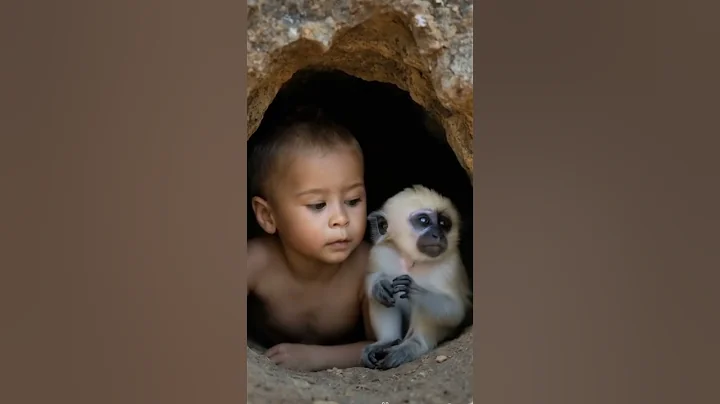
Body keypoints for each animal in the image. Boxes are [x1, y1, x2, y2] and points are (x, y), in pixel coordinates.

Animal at [360, 185, 471, 370]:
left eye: (444, 223)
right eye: (424, 221)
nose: (438, 235)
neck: (412, 261)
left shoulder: (451, 265)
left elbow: (455, 311)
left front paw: (414, 290)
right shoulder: (381, 253)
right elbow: (373, 282)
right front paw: (379, 284)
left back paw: (413, 345)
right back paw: (386, 341)